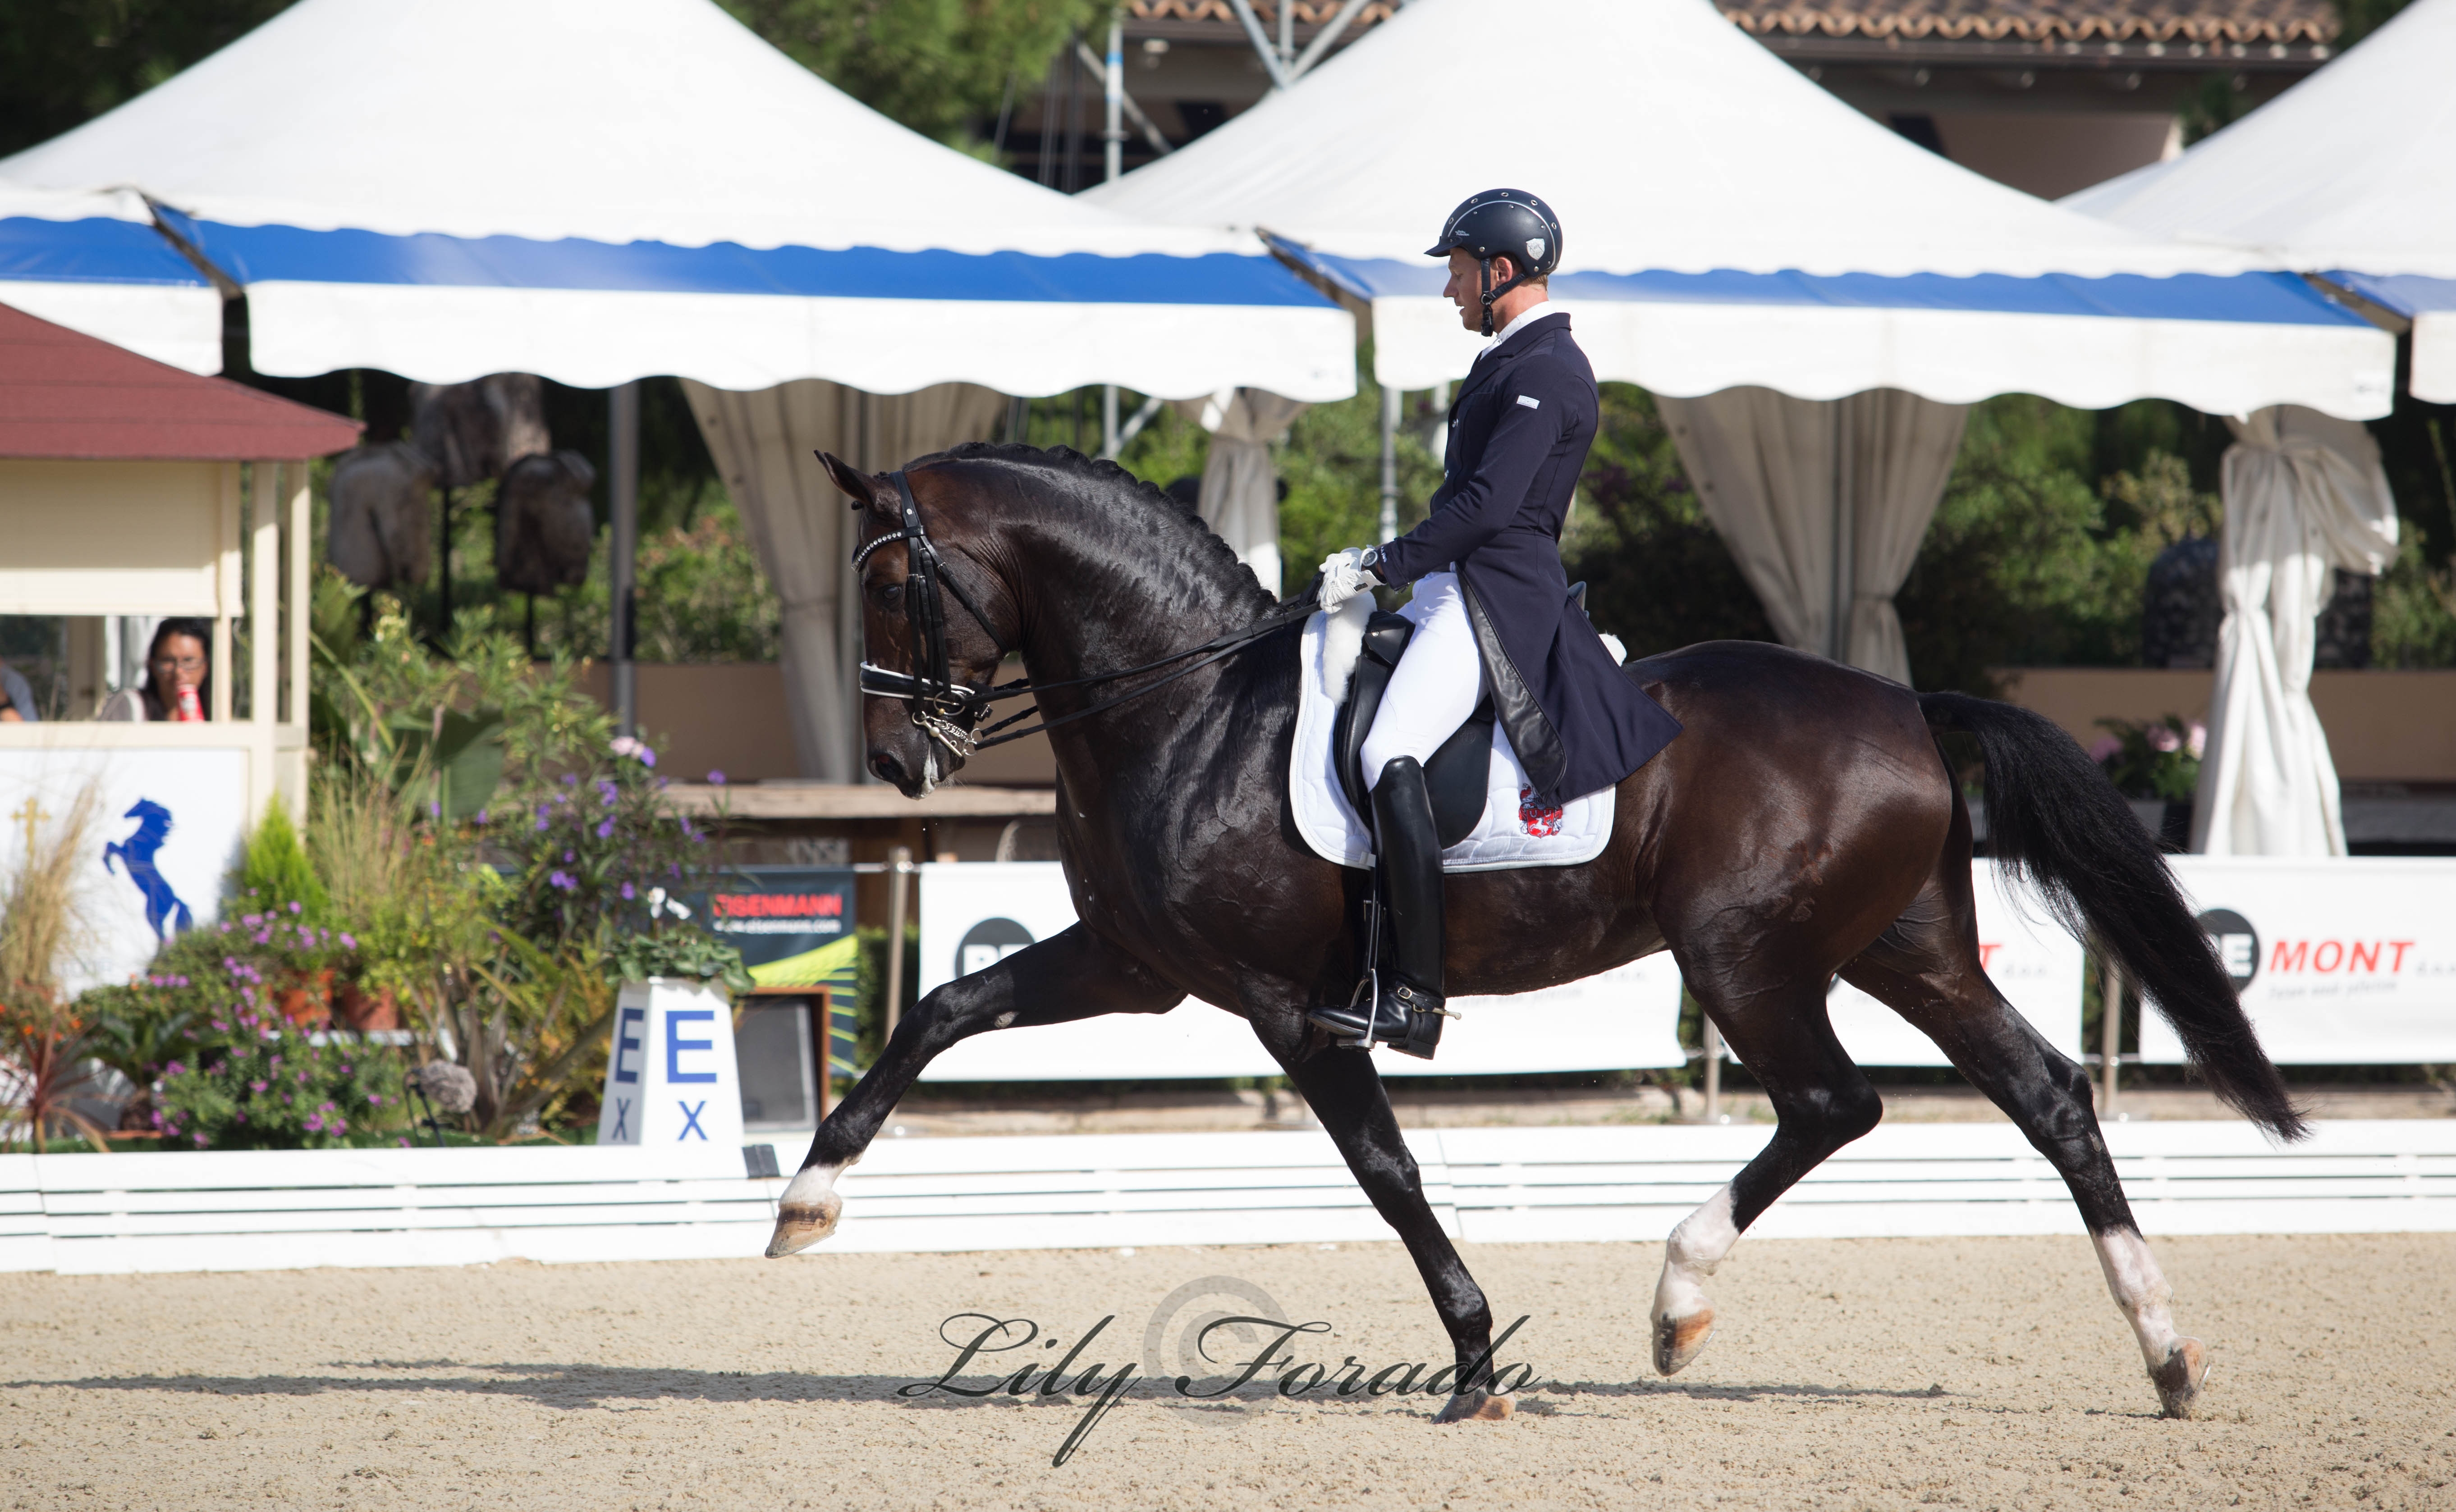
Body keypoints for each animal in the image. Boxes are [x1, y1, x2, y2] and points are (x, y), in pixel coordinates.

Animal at [776, 442, 2309, 1423]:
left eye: (892, 584)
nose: (900, 764)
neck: (1188, 705)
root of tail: (1906, 702)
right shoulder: (1138, 966)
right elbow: (939, 1009)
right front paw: (807, 1197)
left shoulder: (1284, 1005)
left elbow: (1388, 1171)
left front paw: (1474, 1365)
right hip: (1903, 950)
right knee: (2048, 1094)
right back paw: (2167, 1355)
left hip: (1743, 958)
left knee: (1833, 1101)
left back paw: (1677, 1303)